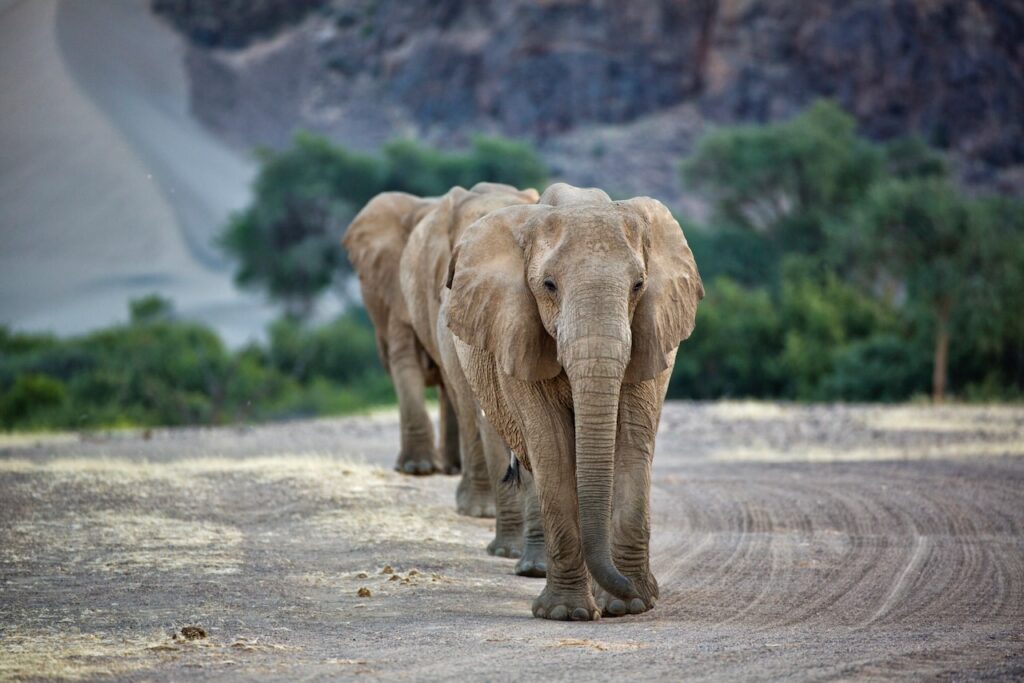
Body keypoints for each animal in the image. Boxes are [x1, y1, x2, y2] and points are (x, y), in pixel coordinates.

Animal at [441, 183, 704, 620]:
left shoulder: (649, 335)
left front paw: (629, 605)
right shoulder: (516, 332)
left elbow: (630, 442)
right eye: (548, 285)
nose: (643, 591)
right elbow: (551, 447)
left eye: (638, 286)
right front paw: (569, 614)